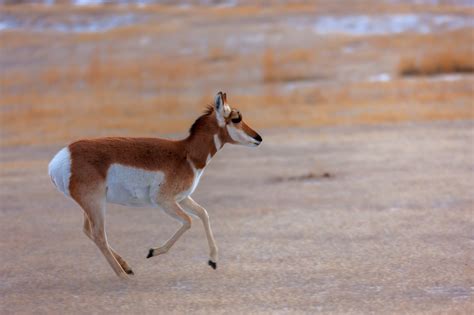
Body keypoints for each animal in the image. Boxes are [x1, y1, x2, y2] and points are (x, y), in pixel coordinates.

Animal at [48, 92, 262, 278]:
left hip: (92, 205)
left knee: (88, 230)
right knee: (99, 234)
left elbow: (203, 214)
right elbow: (189, 221)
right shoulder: (164, 201)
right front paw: (152, 251)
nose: (258, 138)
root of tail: (62, 158)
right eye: (236, 118)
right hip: (95, 204)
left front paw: (213, 261)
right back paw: (123, 276)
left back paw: (127, 268)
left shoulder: (182, 198)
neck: (187, 154)